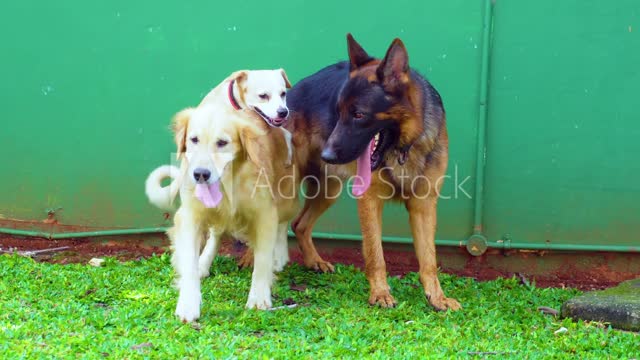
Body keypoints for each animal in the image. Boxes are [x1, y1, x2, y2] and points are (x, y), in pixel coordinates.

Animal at [284, 33, 460, 310]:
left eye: (358, 114)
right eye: (338, 112)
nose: (327, 155)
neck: (402, 147)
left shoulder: (423, 205)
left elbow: (429, 259)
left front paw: (437, 297)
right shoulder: (370, 200)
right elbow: (375, 253)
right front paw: (380, 293)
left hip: (329, 191)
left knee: (299, 224)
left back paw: (314, 261)